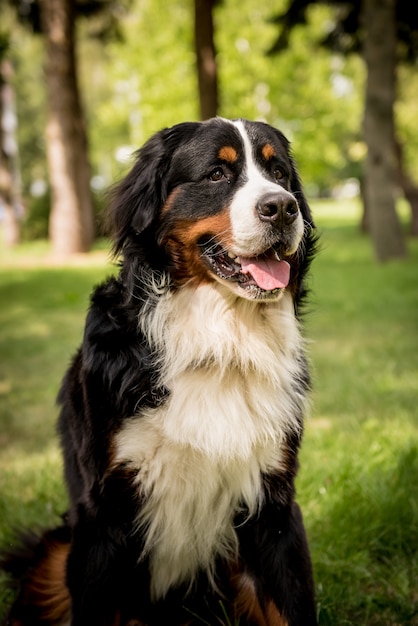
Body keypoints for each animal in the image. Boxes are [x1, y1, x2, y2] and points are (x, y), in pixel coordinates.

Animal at [2, 118, 316, 624]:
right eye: (216, 174)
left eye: (279, 173)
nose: (283, 208)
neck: (219, 344)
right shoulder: (104, 515)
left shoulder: (274, 506)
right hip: (59, 549)